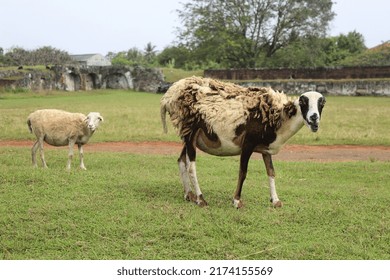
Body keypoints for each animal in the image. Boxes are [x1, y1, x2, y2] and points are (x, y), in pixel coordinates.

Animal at [159, 76, 326, 208]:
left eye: (321, 104)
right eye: (303, 102)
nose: (314, 118)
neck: (279, 117)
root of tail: (169, 96)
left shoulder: (265, 148)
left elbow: (271, 172)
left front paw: (275, 200)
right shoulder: (248, 144)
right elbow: (243, 172)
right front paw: (237, 201)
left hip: (188, 136)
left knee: (181, 160)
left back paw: (189, 194)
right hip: (190, 131)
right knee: (191, 166)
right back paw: (200, 199)